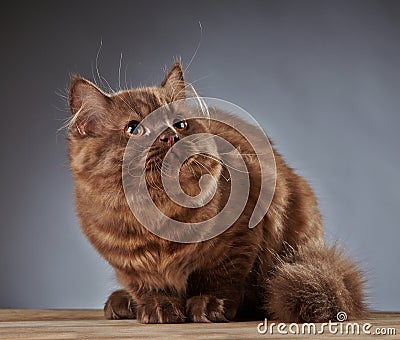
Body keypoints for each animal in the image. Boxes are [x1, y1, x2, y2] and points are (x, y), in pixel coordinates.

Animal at [68, 62, 366, 322]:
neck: (158, 212)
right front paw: (159, 308)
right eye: (134, 128)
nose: (170, 136)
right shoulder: (128, 264)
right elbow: (149, 286)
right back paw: (121, 303)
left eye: (180, 124)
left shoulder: (240, 236)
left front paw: (209, 306)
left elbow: (219, 278)